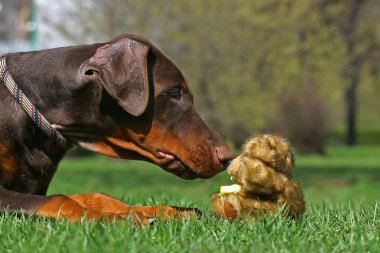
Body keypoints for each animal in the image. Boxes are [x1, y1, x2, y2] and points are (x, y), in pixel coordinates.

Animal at [0, 33, 233, 225]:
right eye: (174, 91)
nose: (227, 157)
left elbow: (93, 195)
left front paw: (161, 210)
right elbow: (58, 200)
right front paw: (118, 217)